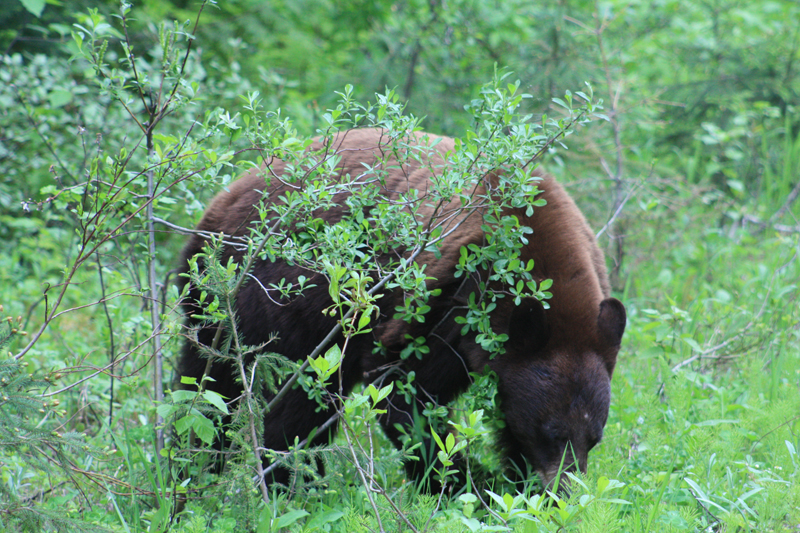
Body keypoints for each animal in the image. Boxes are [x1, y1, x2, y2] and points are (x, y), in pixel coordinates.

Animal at [178, 127, 628, 488]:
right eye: (551, 431)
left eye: (595, 437)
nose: (564, 491)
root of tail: (222, 200)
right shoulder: (446, 301)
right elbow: (406, 390)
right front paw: (467, 485)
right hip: (252, 302)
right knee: (226, 393)